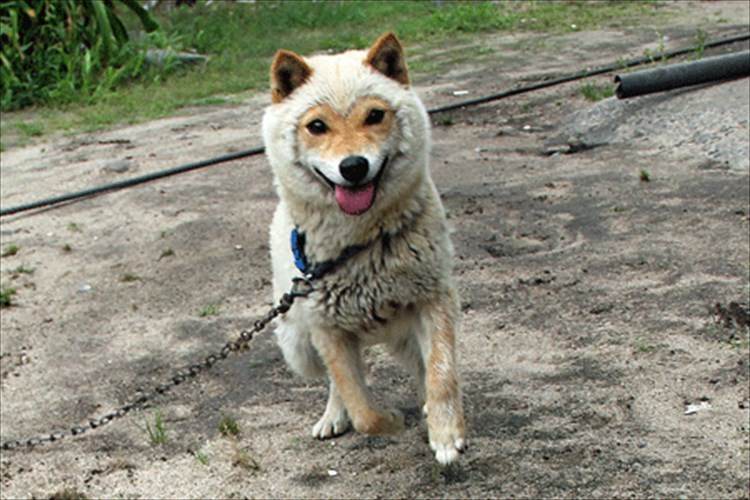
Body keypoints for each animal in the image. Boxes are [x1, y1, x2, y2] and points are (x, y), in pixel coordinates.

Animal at [262, 32, 468, 464]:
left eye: (375, 115)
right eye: (316, 126)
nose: (353, 166)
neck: (361, 246)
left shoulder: (434, 299)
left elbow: (441, 373)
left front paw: (445, 432)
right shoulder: (328, 331)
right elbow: (361, 409)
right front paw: (389, 421)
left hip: (404, 336)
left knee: (422, 367)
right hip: (298, 345)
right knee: (334, 382)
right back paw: (332, 416)